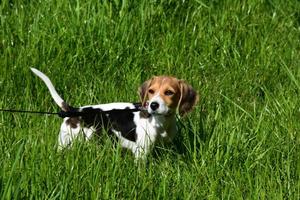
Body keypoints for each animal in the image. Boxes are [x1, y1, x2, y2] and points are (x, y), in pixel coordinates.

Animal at [31, 68, 198, 159]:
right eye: (151, 91)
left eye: (169, 92)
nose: (153, 105)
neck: (161, 121)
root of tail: (75, 111)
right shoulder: (141, 152)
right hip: (66, 142)